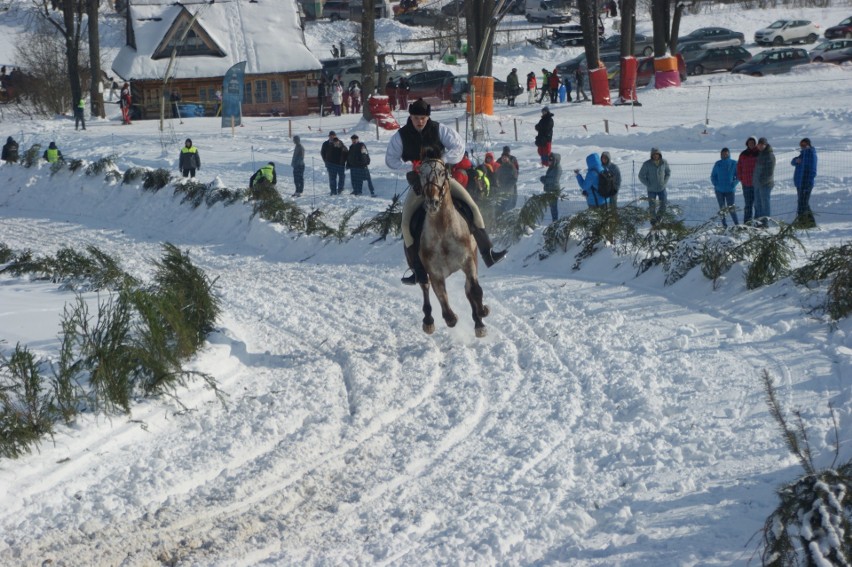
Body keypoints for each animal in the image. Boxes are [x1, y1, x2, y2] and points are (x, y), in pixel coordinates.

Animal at [414, 158, 490, 340]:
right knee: (425, 287)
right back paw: (428, 321)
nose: (432, 202)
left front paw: (482, 314)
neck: (443, 229)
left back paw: (478, 321)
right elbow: (443, 299)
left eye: (442, 173)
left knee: (468, 289)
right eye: (420, 173)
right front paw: (451, 317)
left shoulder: (468, 261)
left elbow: (474, 290)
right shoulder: (434, 272)